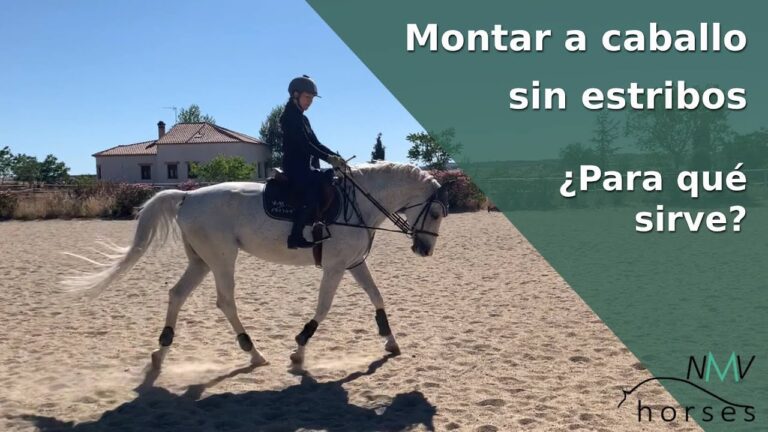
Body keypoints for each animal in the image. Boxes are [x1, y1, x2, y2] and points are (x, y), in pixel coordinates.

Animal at [63, 162, 449, 369]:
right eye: (434, 211)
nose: (425, 250)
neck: (359, 204)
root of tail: (188, 195)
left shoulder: (353, 264)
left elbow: (377, 297)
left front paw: (391, 342)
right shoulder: (335, 268)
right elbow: (323, 308)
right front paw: (298, 349)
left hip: (201, 261)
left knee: (176, 294)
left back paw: (161, 351)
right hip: (221, 259)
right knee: (225, 301)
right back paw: (254, 352)